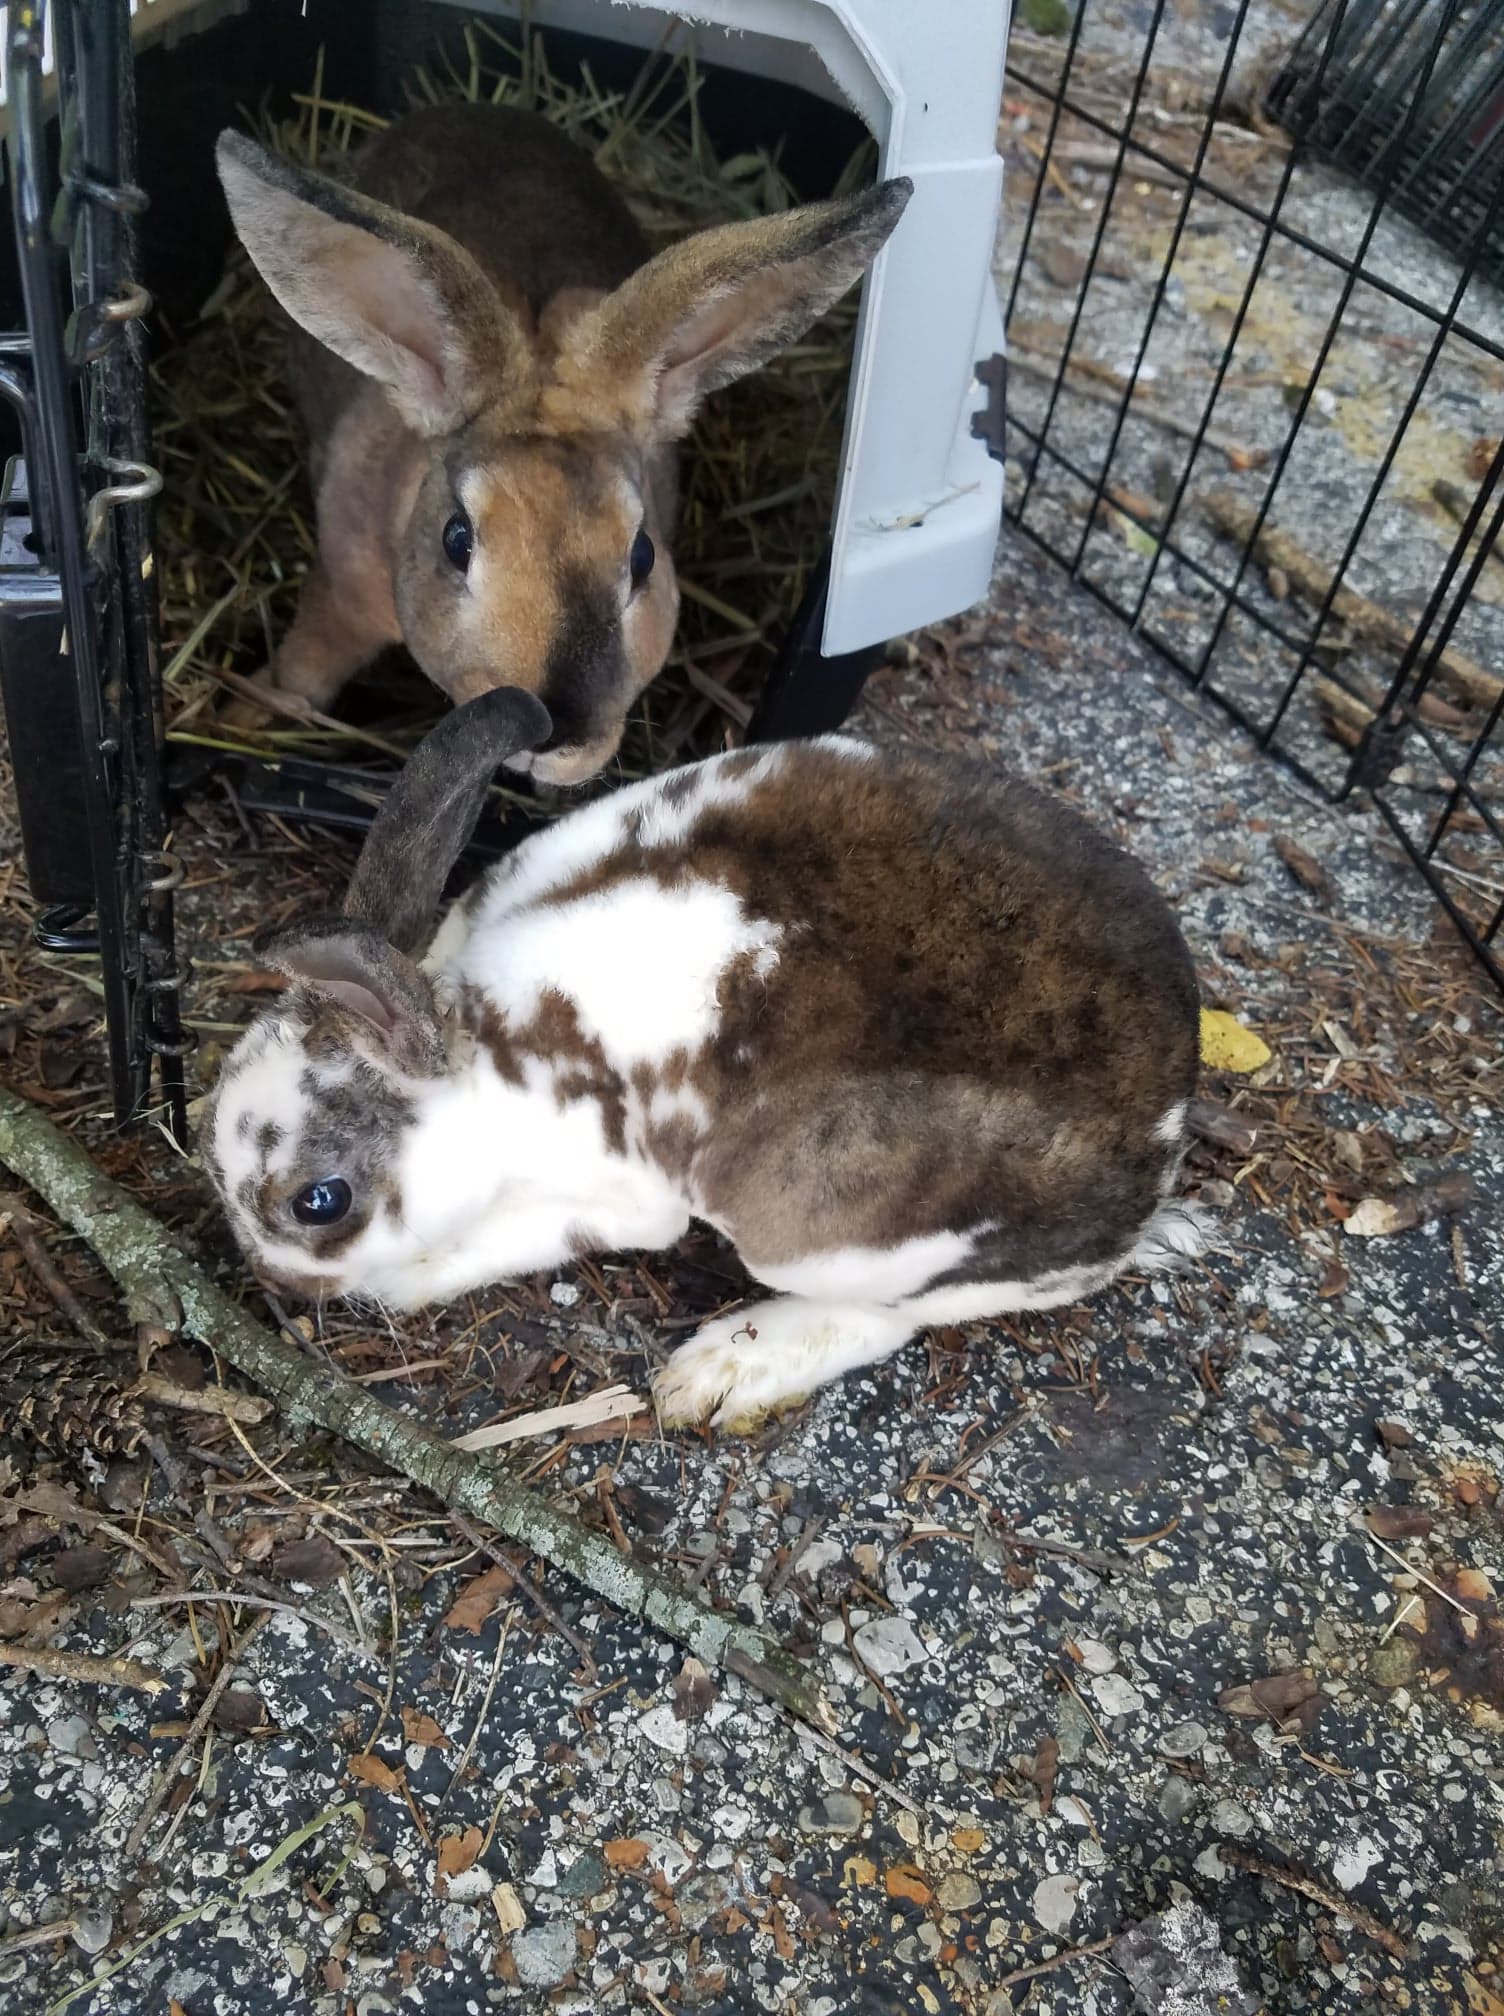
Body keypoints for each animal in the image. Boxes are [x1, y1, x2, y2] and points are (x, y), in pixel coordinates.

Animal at [201, 686, 1206, 1433]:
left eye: (320, 1201)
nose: (270, 1281)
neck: (483, 1053)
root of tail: (1162, 1153)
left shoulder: (614, 1202)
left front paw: (399, 1283)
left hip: (815, 1223)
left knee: (889, 1319)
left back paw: (717, 1371)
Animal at [213, 104, 911, 784]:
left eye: (642, 555)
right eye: (456, 539)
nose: (553, 732)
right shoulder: (342, 588)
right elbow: (306, 668)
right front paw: (247, 713)